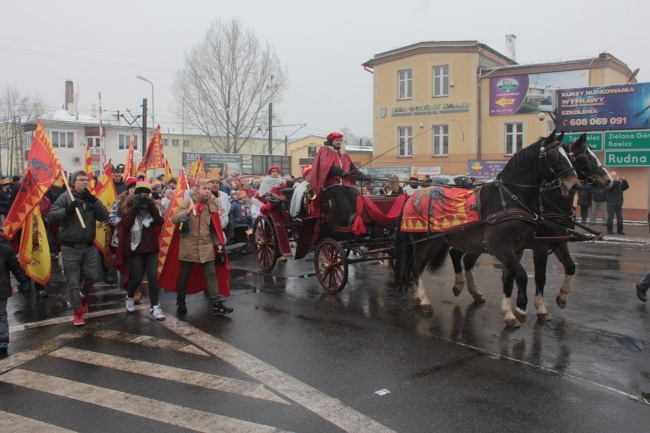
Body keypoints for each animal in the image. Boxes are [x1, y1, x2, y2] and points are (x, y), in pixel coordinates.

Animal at [392, 133, 580, 326]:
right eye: (553, 156)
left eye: (569, 156)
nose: (575, 185)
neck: (508, 200)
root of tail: (411, 196)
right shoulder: (506, 248)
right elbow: (523, 275)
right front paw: (521, 309)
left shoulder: (517, 249)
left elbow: (509, 278)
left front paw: (509, 312)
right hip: (422, 242)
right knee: (415, 266)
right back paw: (425, 300)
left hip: (437, 242)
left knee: (419, 266)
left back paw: (419, 295)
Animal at [448, 133, 612, 322]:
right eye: (585, 158)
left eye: (571, 158)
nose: (609, 180)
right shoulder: (539, 247)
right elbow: (540, 277)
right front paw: (537, 307)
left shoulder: (558, 241)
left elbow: (570, 267)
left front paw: (562, 297)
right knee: (458, 255)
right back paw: (461, 286)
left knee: (464, 259)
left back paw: (473, 291)